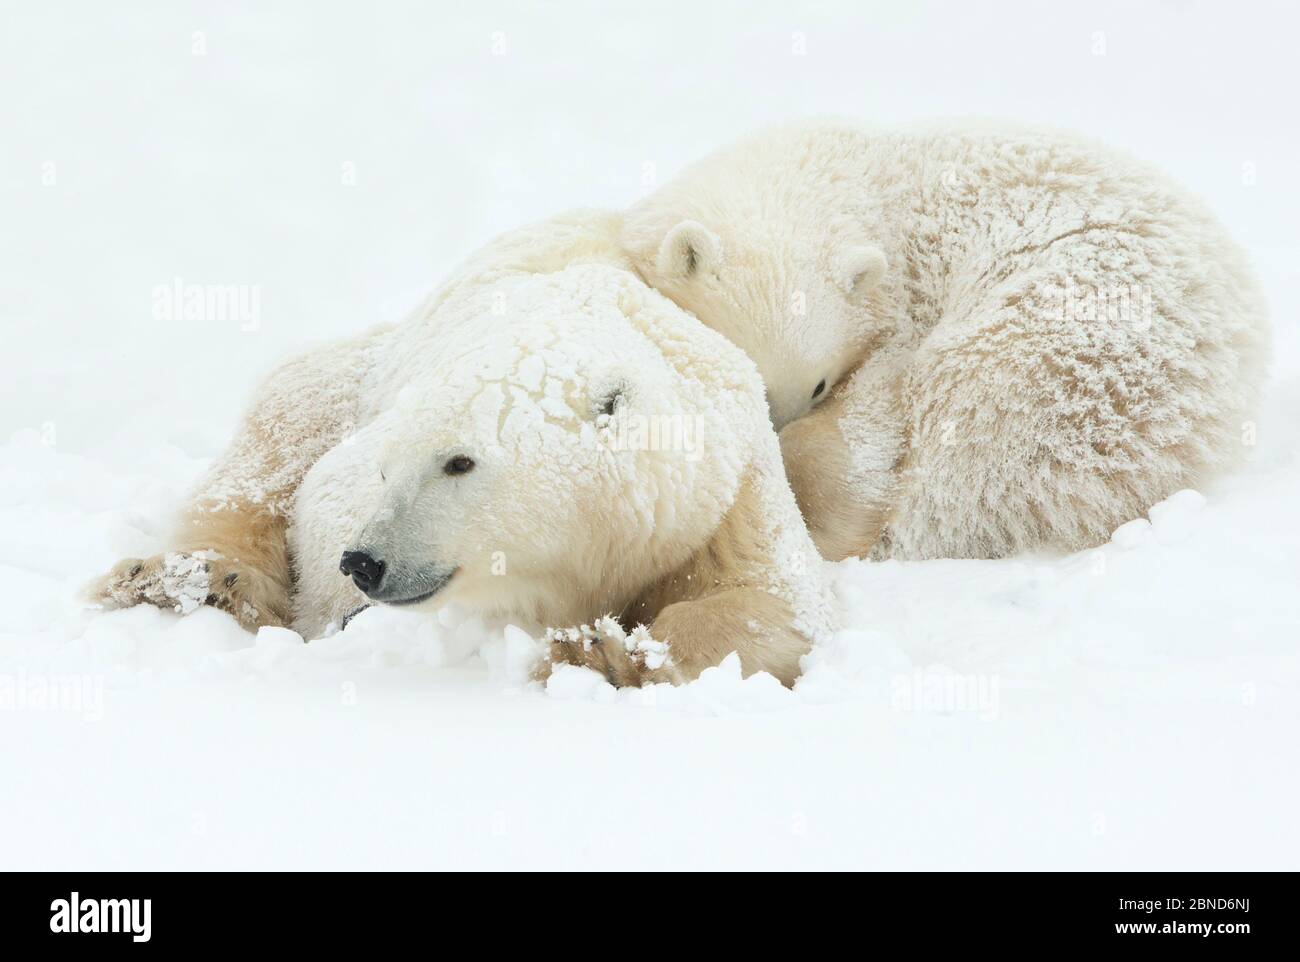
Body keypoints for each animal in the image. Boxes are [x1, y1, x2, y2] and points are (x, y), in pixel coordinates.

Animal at [94, 214, 842, 686]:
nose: (365, 563)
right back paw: (189, 580)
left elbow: (774, 600)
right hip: (349, 376)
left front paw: (602, 653)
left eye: (459, 462)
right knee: (271, 448)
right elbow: (321, 493)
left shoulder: (718, 494)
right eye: (388, 468)